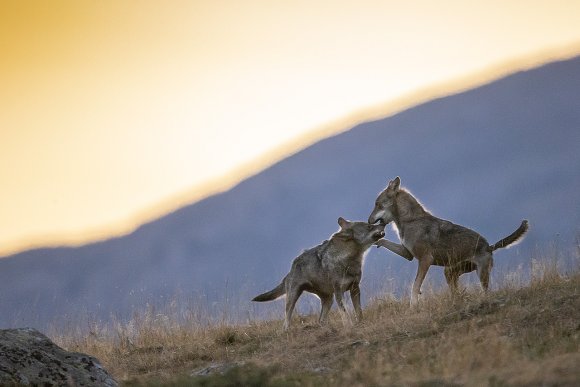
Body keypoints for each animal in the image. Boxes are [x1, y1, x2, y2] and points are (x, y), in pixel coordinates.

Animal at [253, 218, 386, 330]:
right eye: (369, 226)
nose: (383, 223)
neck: (347, 261)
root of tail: (291, 269)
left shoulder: (355, 288)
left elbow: (359, 311)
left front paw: (360, 323)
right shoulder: (339, 292)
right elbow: (345, 313)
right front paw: (350, 326)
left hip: (328, 300)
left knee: (321, 320)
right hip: (293, 297)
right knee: (286, 321)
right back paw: (287, 330)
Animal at [370, 177, 528, 308]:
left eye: (378, 205)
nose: (369, 220)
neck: (410, 220)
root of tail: (489, 246)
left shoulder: (425, 260)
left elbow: (415, 286)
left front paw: (413, 305)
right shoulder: (408, 254)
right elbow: (384, 241)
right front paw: (374, 240)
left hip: (478, 274)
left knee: (486, 292)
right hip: (450, 272)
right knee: (456, 292)